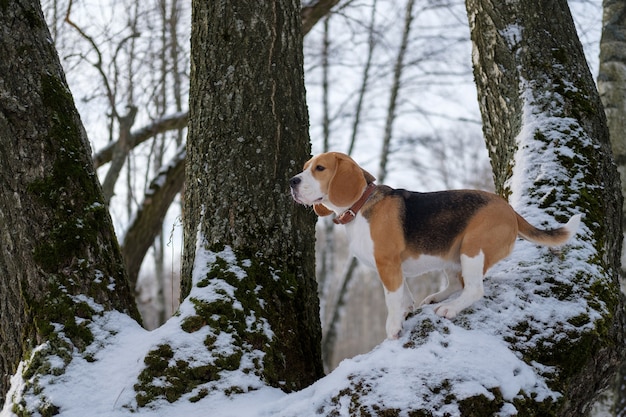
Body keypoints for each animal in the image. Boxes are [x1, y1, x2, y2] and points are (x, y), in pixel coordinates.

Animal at [288, 151, 580, 340]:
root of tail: (509, 209)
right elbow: (404, 296)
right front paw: (406, 312)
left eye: (320, 168)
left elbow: (391, 300)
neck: (360, 206)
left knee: (474, 289)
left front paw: (393, 328)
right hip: (450, 255)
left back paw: (449, 308)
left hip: (471, 248)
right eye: (305, 166)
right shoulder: (396, 270)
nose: (292, 181)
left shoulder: (387, 264)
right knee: (457, 284)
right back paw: (437, 297)